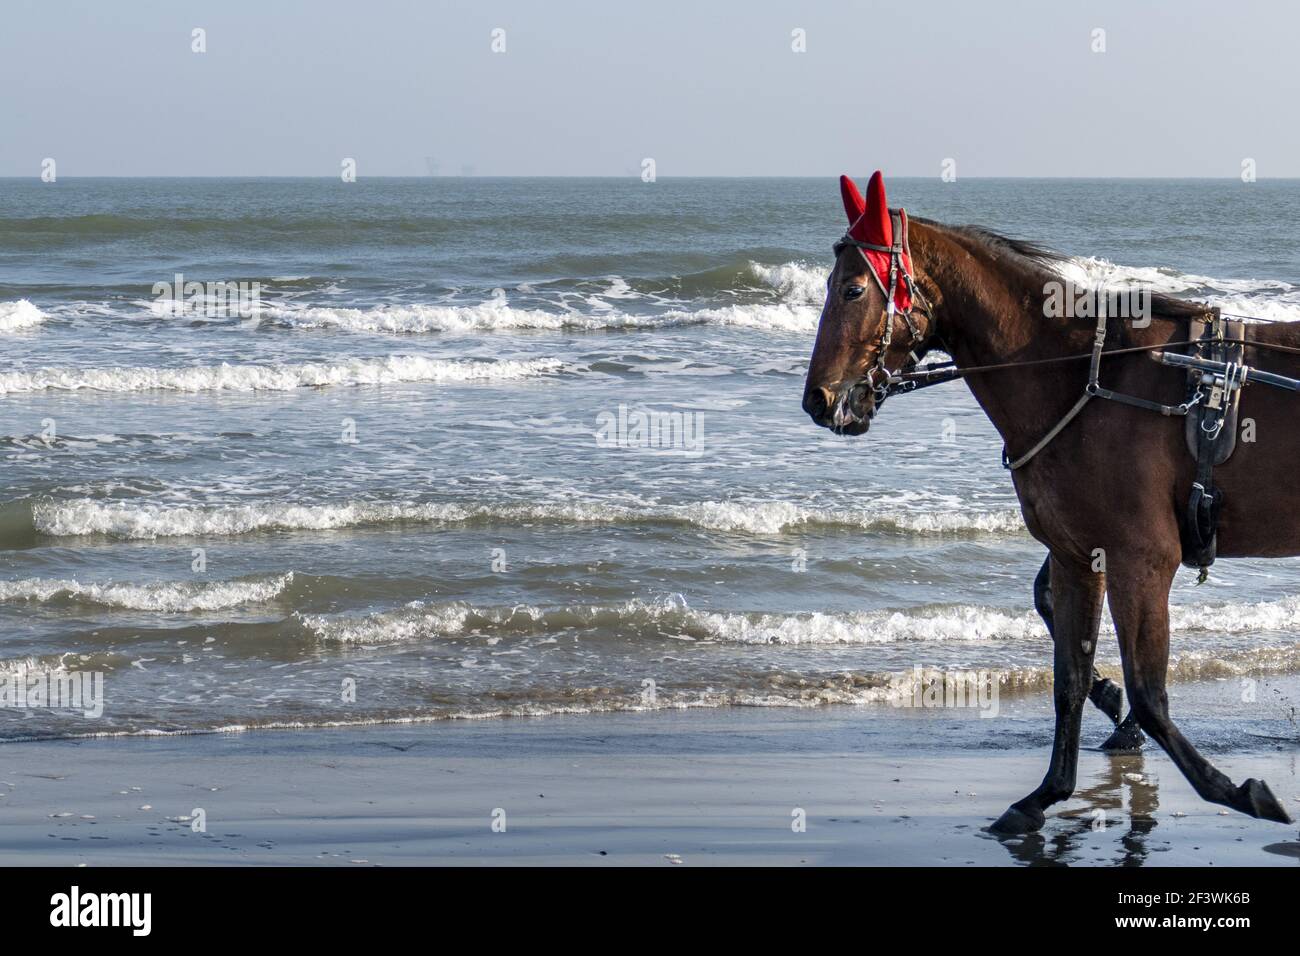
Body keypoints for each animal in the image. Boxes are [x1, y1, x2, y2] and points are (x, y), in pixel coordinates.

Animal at [802, 170, 1298, 834]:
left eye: (853, 288)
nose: (818, 398)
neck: (1084, 377)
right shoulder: (1077, 556)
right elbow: (1068, 678)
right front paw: (1047, 791)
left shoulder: (1141, 557)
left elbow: (1149, 692)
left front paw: (1237, 790)